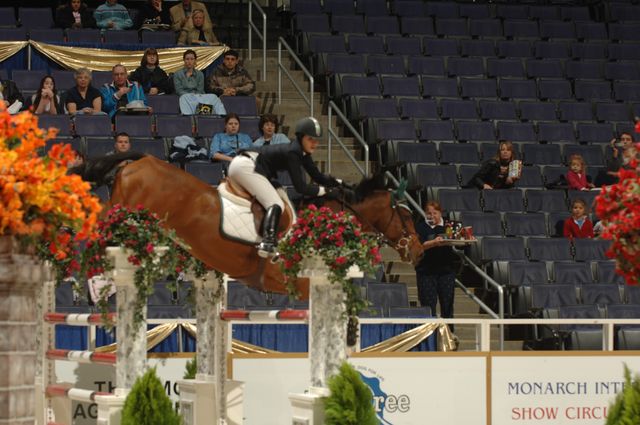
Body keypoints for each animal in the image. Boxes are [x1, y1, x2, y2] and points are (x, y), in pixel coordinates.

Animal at [75, 152, 422, 298]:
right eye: (406, 217)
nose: (418, 251)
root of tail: (138, 160)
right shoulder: (298, 282)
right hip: (121, 210)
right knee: (93, 221)